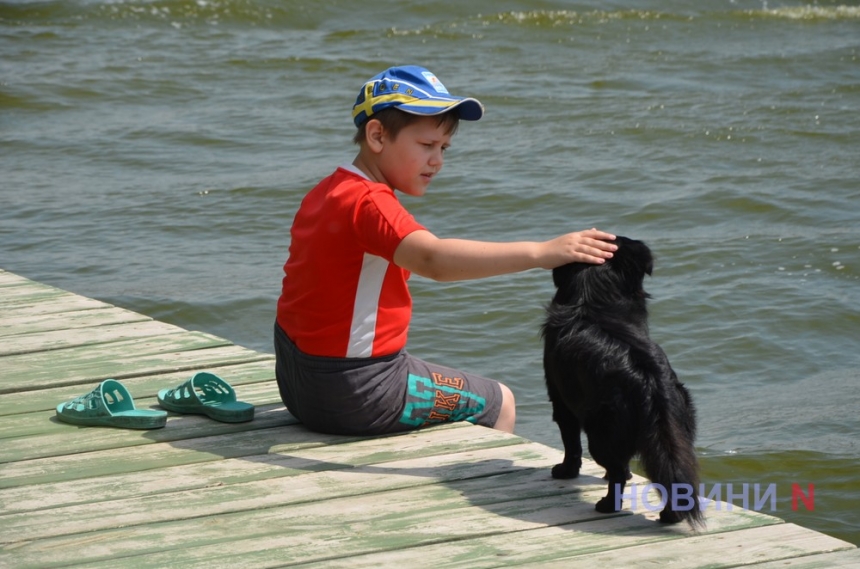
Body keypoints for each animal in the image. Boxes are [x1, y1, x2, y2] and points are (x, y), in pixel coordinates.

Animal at [540, 236, 704, 528]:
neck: (592, 297)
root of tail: (649, 383)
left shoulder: (561, 399)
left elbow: (571, 444)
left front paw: (565, 471)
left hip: (601, 433)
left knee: (615, 472)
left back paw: (606, 506)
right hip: (680, 428)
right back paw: (670, 515)